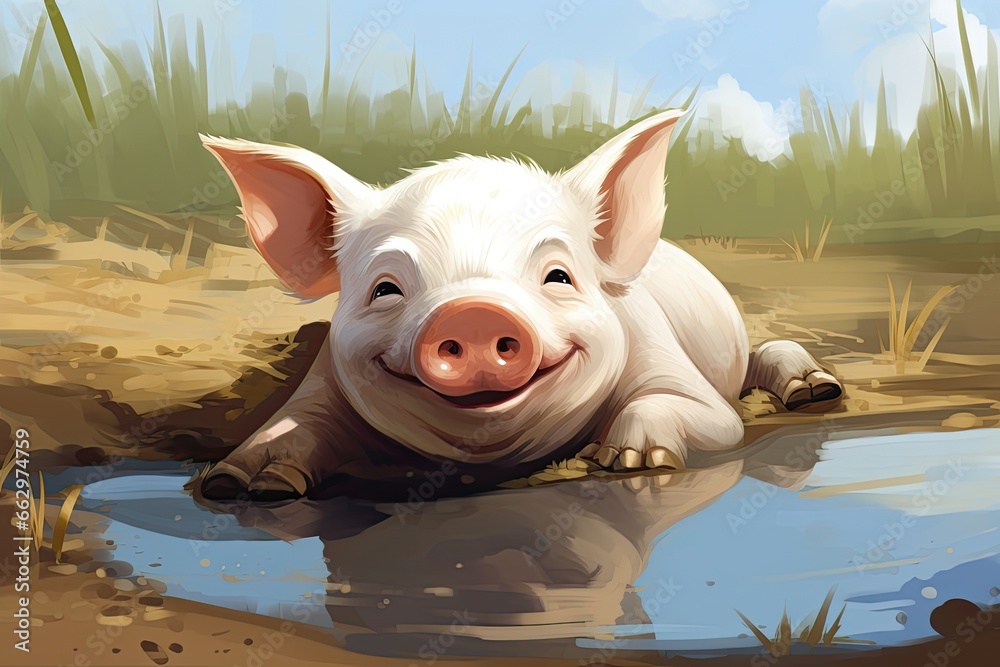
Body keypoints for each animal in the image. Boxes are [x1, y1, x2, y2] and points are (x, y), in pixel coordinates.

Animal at [198, 109, 842, 501]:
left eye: (558, 276)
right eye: (385, 289)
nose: (474, 312)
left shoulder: (679, 375)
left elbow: (706, 414)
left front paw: (632, 463)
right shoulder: (325, 374)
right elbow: (294, 424)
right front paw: (240, 486)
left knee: (768, 354)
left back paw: (816, 391)